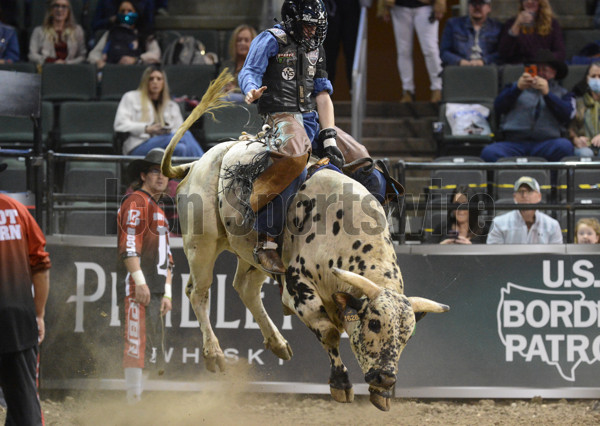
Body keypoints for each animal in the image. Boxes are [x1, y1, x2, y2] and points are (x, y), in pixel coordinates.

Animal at [162, 71, 448, 412]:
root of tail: (197, 164)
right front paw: (340, 383)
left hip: (251, 253)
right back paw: (215, 354)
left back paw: (277, 343)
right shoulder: (299, 287)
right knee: (199, 292)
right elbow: (328, 332)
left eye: (407, 335)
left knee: (245, 287)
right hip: (201, 241)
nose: (386, 378)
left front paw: (379, 393)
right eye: (374, 324)